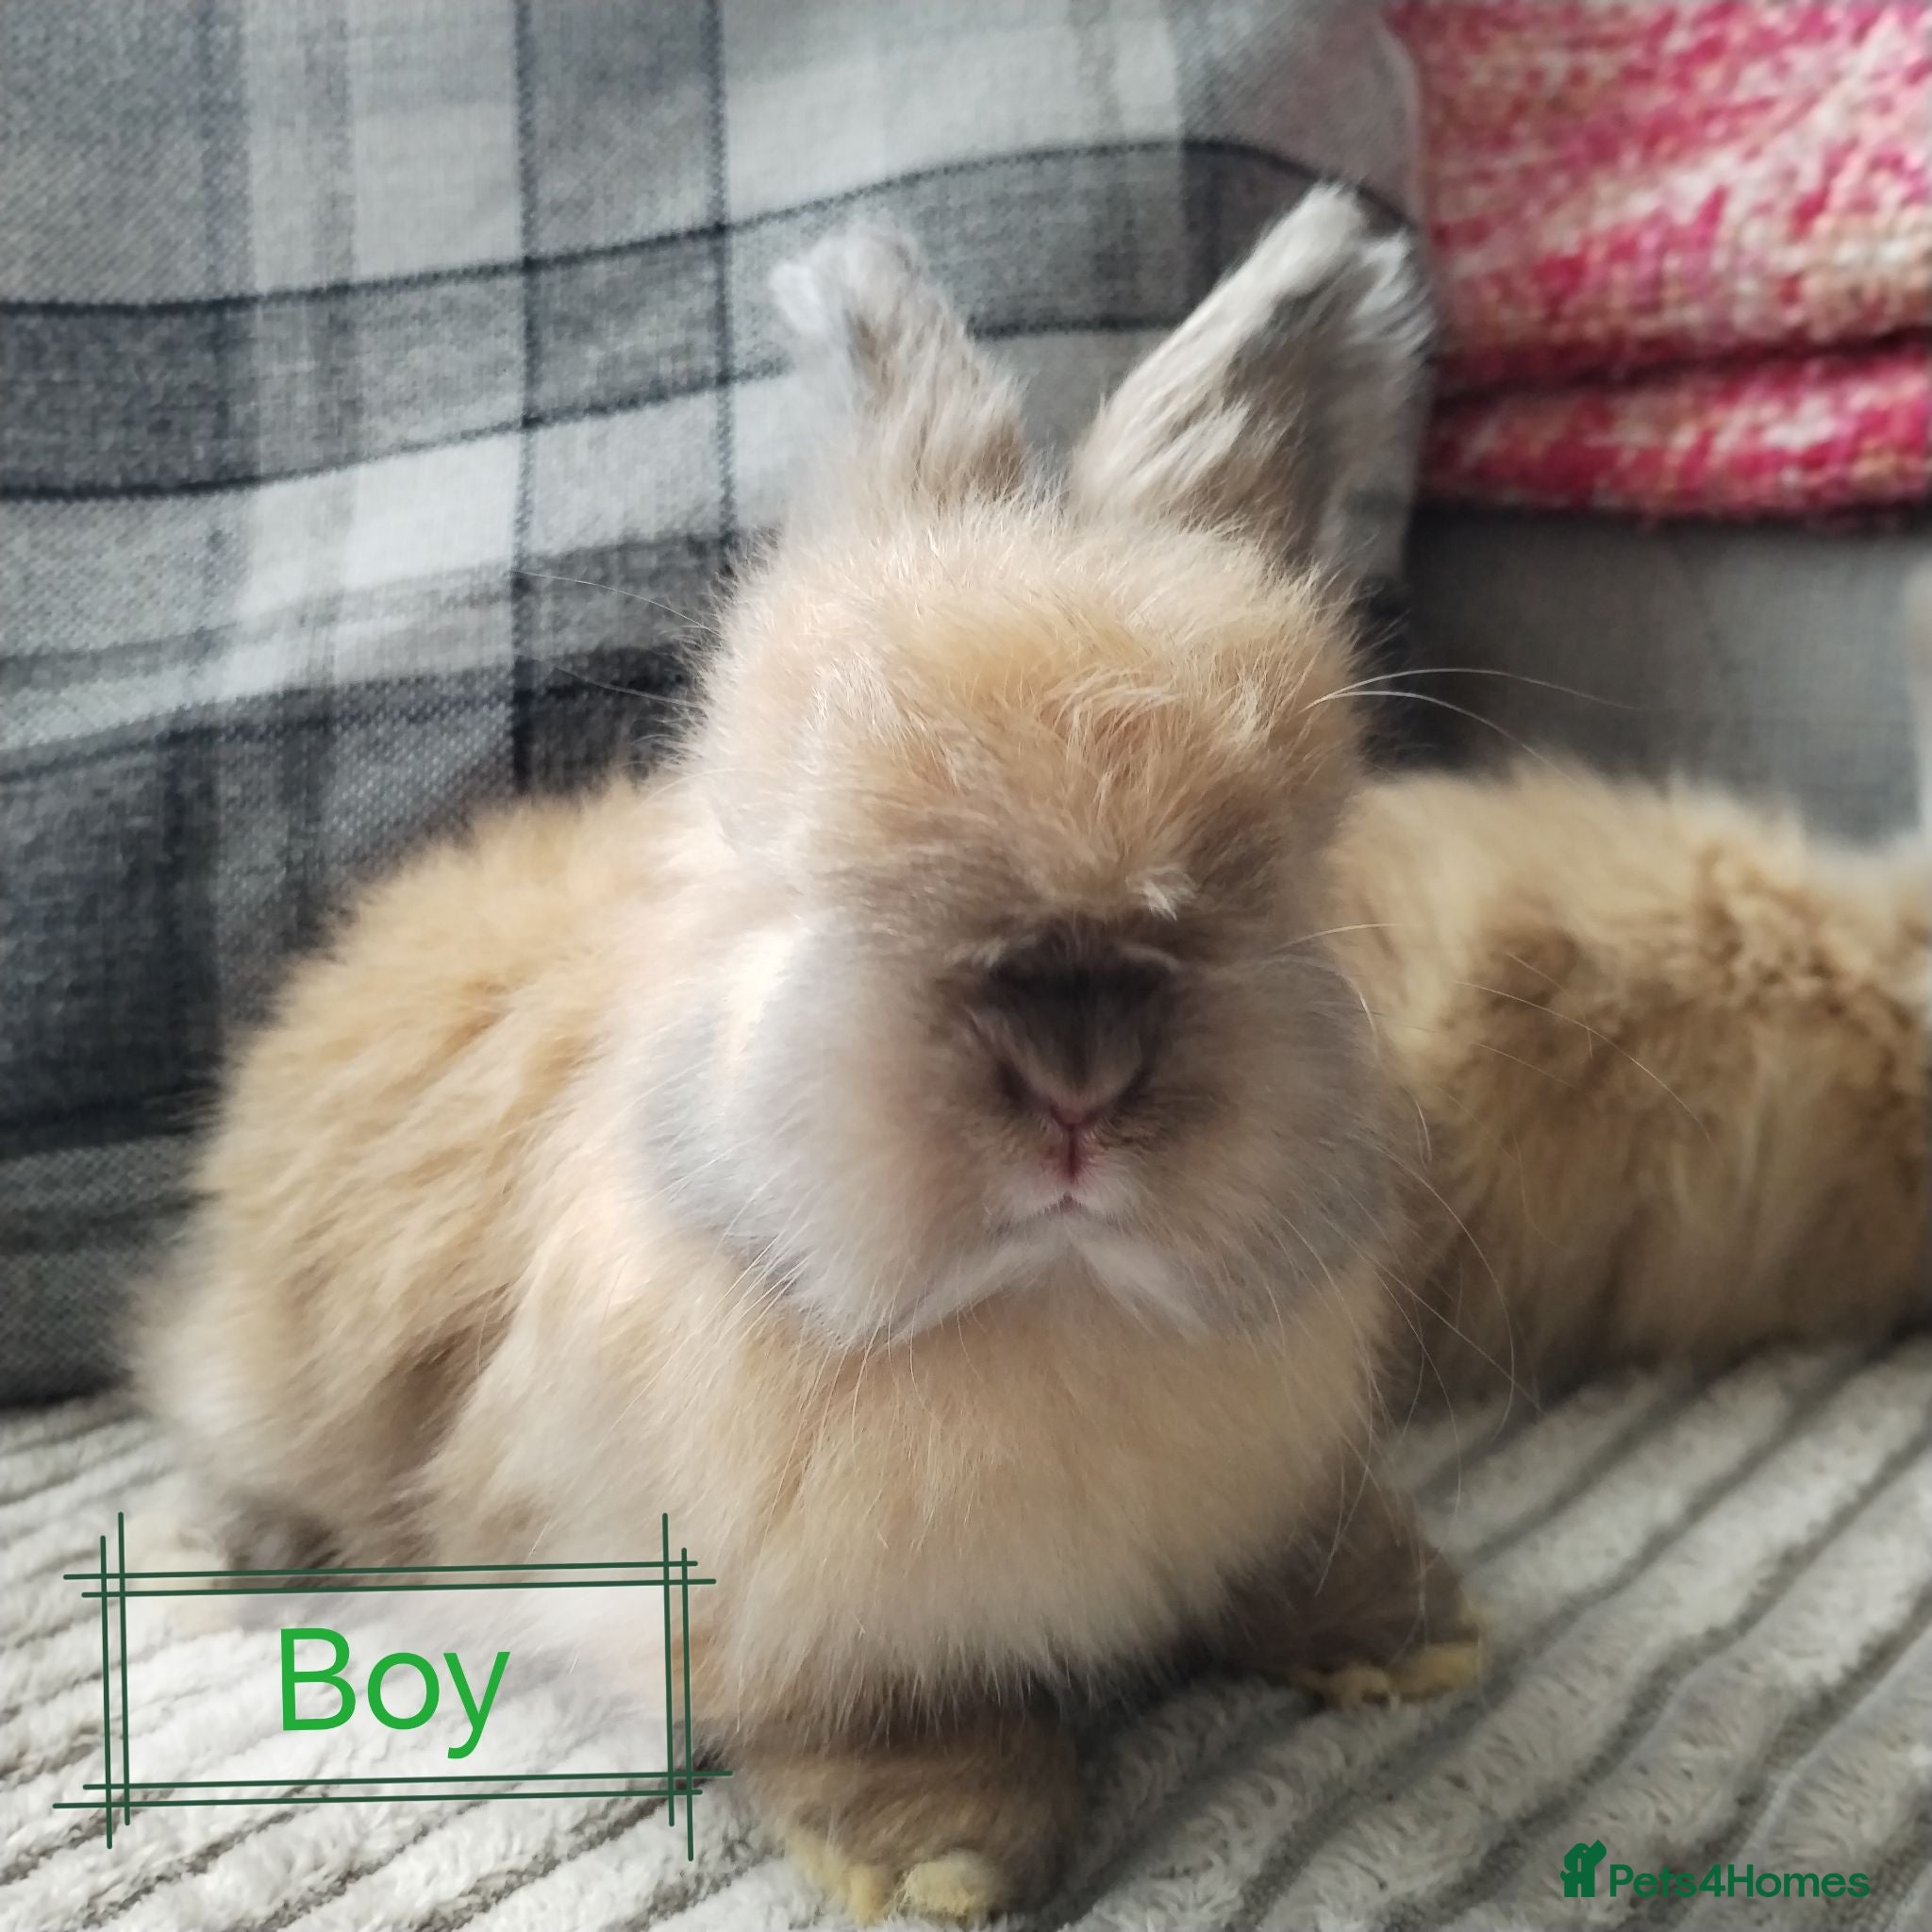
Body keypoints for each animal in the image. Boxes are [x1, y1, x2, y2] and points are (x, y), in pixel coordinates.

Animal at [134, 187, 1927, 1924]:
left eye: (1275, 856)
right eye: (807, 856)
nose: (1078, 1079)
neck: (1048, 1309)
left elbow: (1294, 1549)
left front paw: (1407, 1629)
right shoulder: (732, 1580)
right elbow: (871, 1719)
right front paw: (946, 1859)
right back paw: (225, 1550)